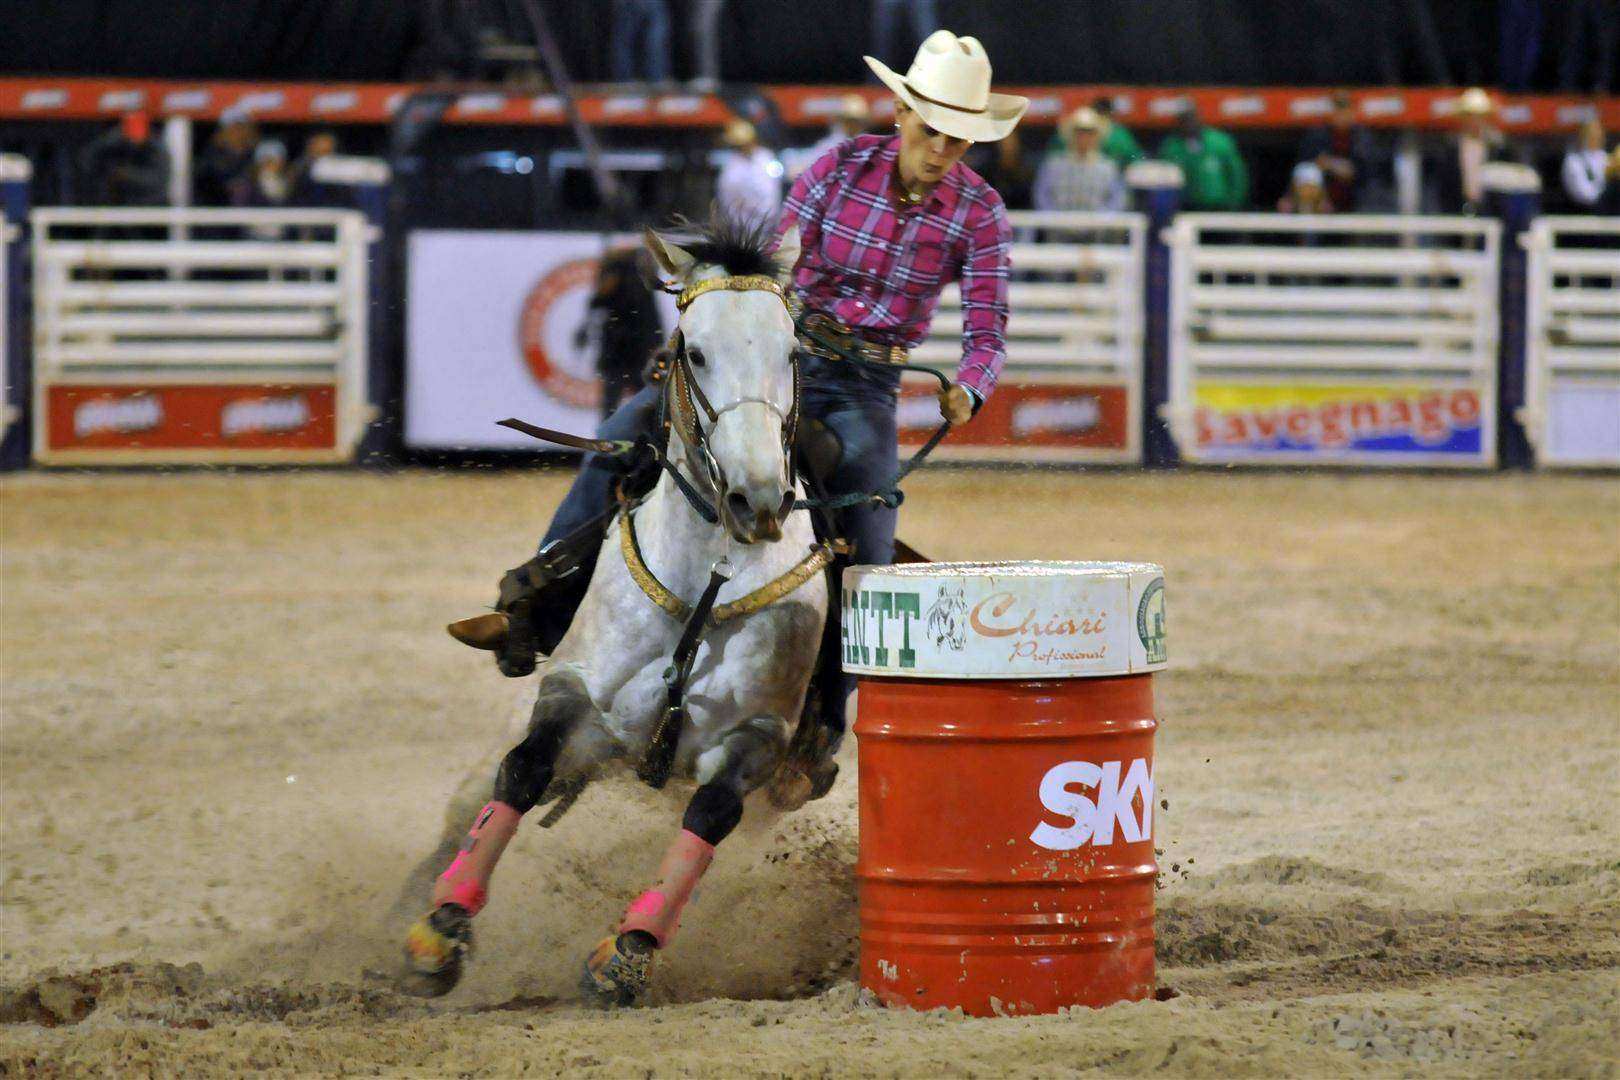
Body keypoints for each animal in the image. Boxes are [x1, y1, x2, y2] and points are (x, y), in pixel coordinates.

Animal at [400, 216, 829, 1003]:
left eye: (791, 351)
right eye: (694, 351)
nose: (757, 500)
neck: (706, 577)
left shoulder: (754, 737)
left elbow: (707, 817)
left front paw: (627, 952)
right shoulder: (573, 695)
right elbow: (520, 770)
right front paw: (440, 928)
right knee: (475, 799)